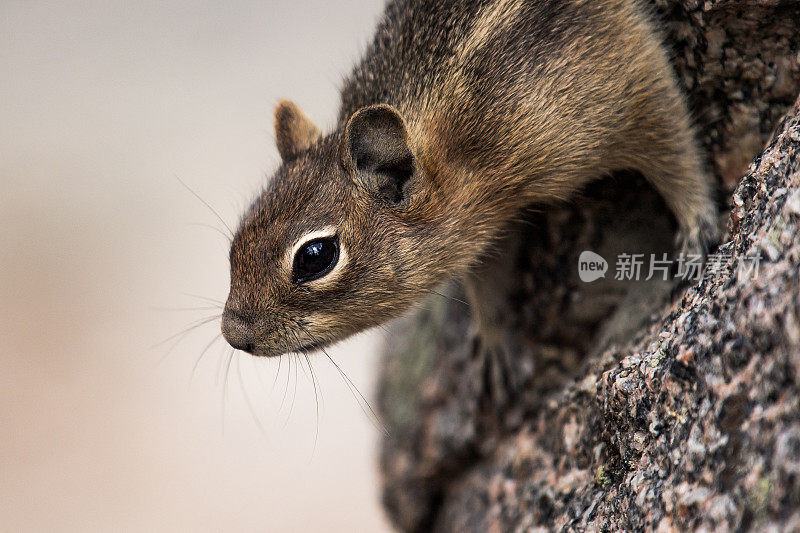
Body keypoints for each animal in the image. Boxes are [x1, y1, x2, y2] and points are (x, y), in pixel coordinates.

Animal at [220, 0, 720, 374]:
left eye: (315, 256)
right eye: (236, 242)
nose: (233, 335)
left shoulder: (617, 78)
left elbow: (671, 138)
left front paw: (698, 224)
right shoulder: (475, 225)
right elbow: (485, 271)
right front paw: (495, 343)